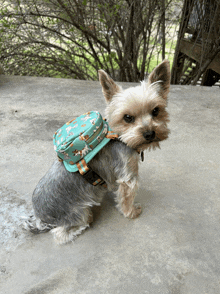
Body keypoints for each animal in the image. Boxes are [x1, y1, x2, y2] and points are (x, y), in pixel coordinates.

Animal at [25, 59, 170, 243]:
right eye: (127, 117)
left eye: (156, 111)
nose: (150, 134)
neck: (121, 137)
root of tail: (40, 218)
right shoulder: (128, 176)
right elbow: (127, 197)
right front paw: (131, 212)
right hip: (78, 212)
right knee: (62, 232)